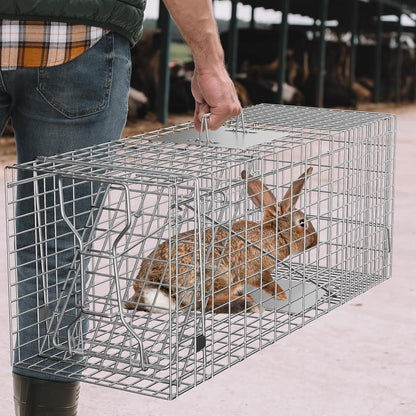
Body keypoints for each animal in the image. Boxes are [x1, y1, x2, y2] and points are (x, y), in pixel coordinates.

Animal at [125, 167, 316, 314]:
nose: (315, 241)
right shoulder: (257, 269)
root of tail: (150, 289)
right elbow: (267, 283)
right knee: (202, 304)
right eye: (302, 223)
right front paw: (282, 296)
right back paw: (247, 303)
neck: (276, 234)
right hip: (218, 275)